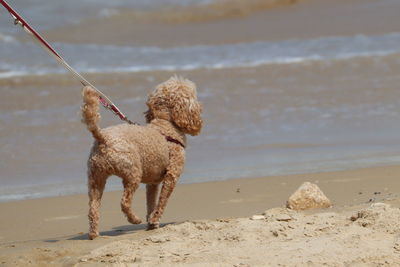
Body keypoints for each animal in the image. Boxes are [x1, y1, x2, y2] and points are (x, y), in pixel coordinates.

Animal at [80, 76, 203, 241]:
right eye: (191, 93)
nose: (200, 105)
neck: (165, 123)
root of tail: (103, 138)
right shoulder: (171, 176)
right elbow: (162, 202)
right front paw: (155, 220)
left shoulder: (152, 182)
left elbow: (151, 202)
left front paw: (151, 223)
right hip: (133, 173)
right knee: (124, 202)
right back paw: (134, 219)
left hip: (95, 178)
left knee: (93, 209)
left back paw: (94, 234)